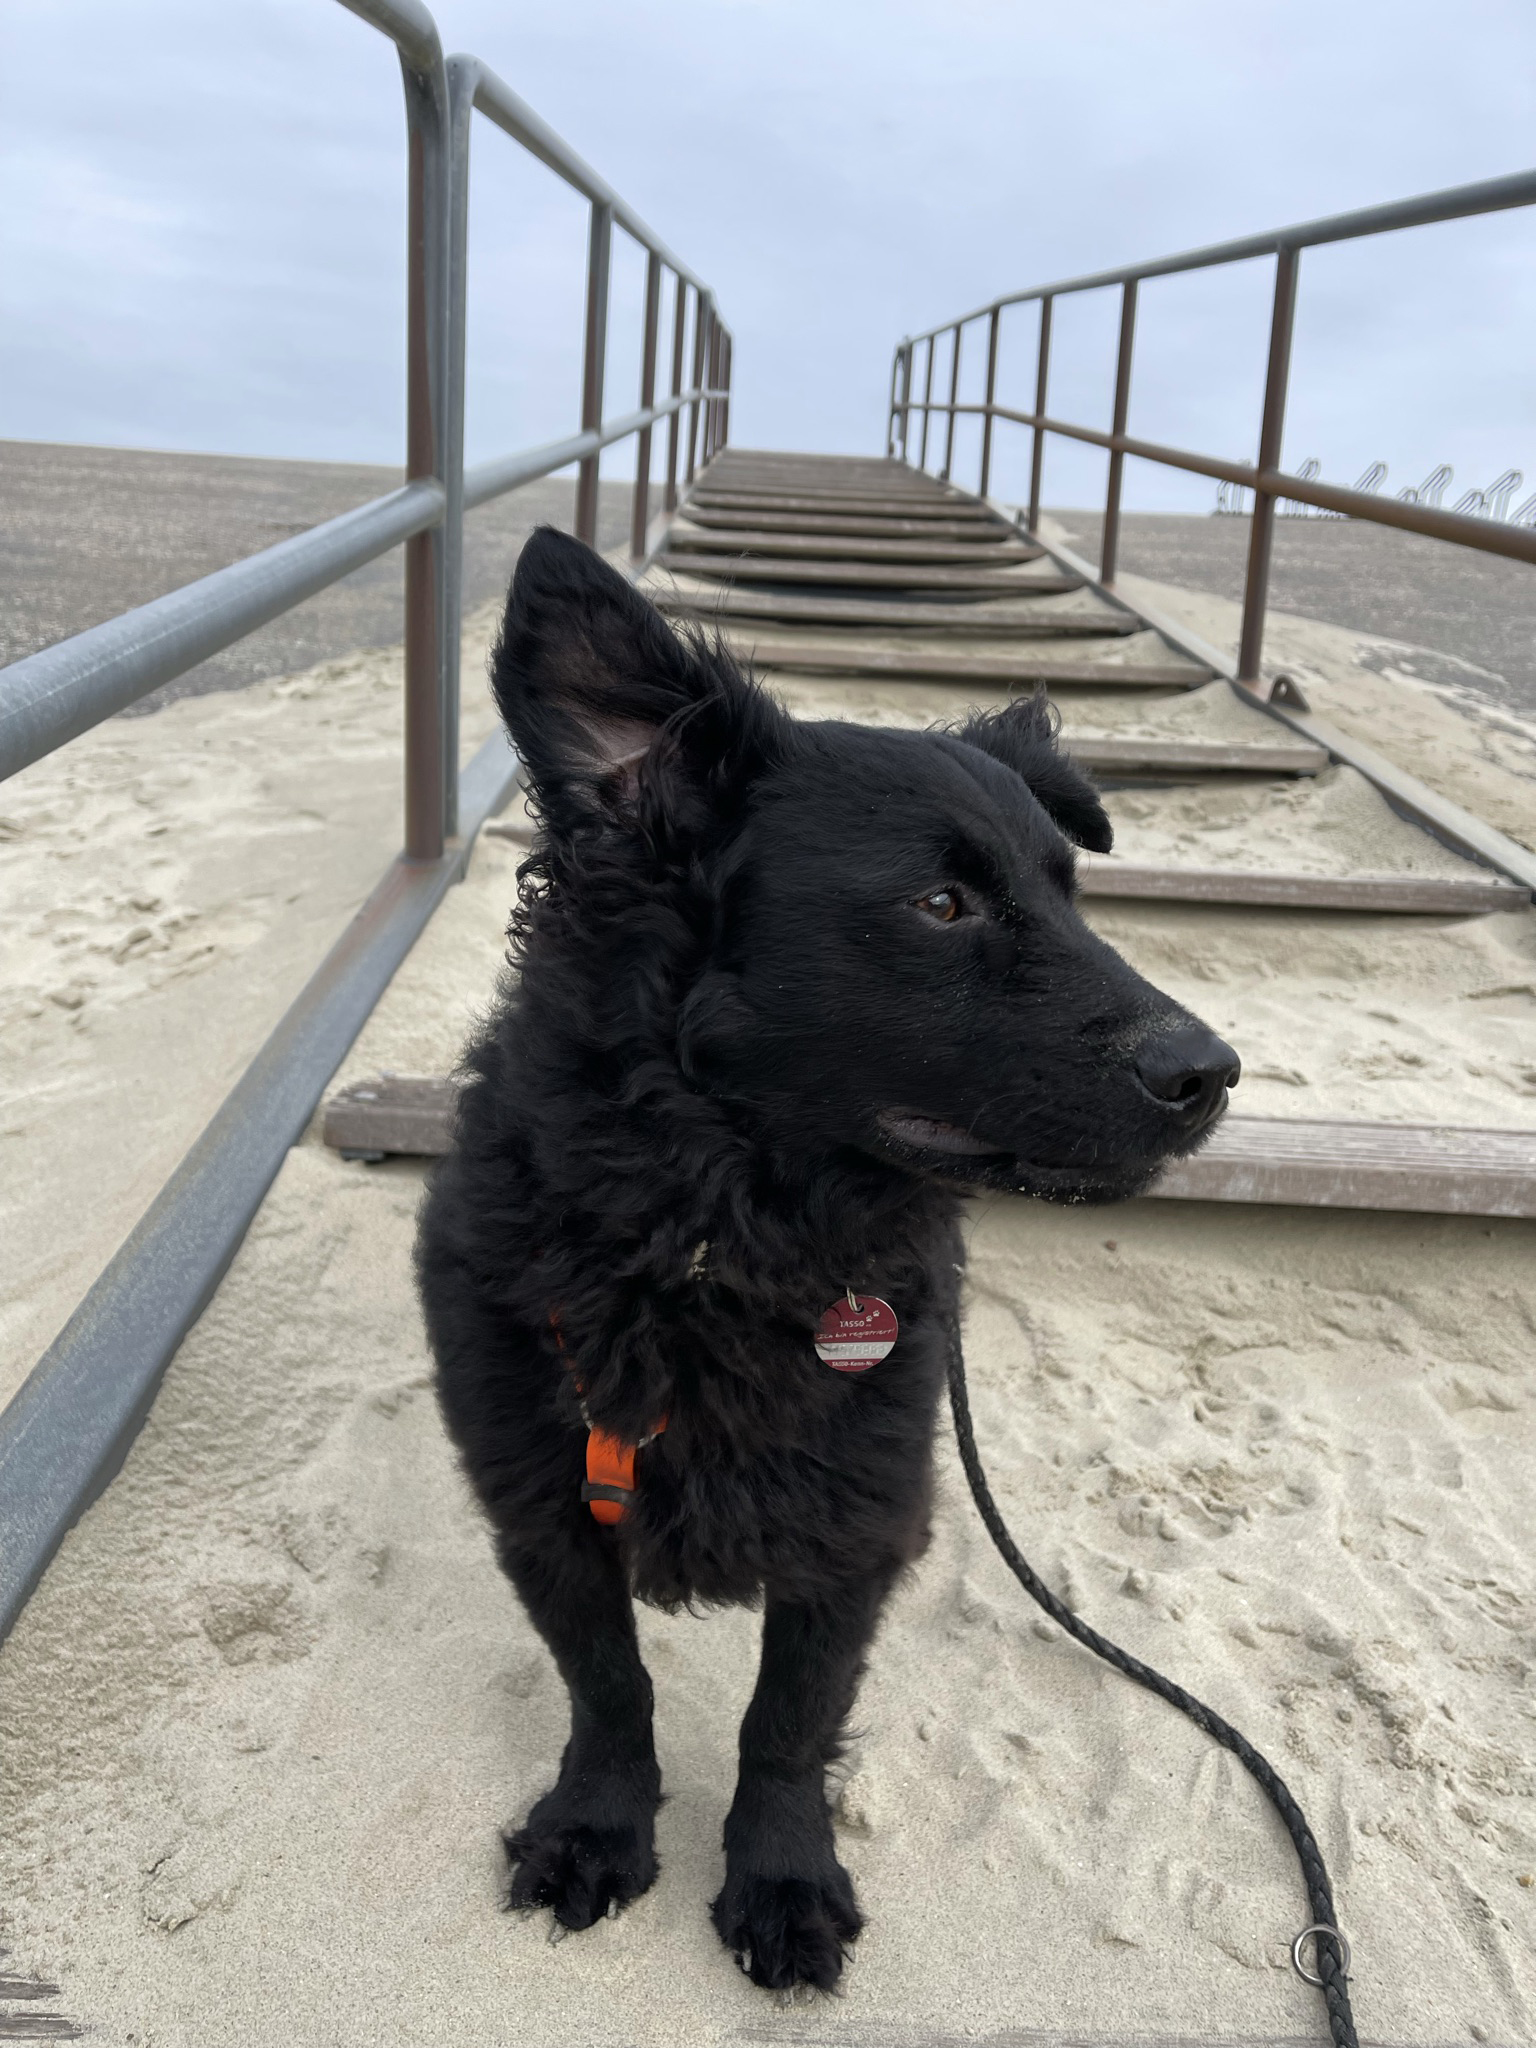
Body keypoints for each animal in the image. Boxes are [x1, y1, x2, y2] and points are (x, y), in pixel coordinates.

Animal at [416, 525, 1238, 1992]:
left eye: (1071, 894)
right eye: (941, 901)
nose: (1214, 1074)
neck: (704, 1250)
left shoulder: (856, 1522)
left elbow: (787, 1723)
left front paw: (782, 1875)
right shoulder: (544, 1503)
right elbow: (609, 1684)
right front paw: (598, 1823)